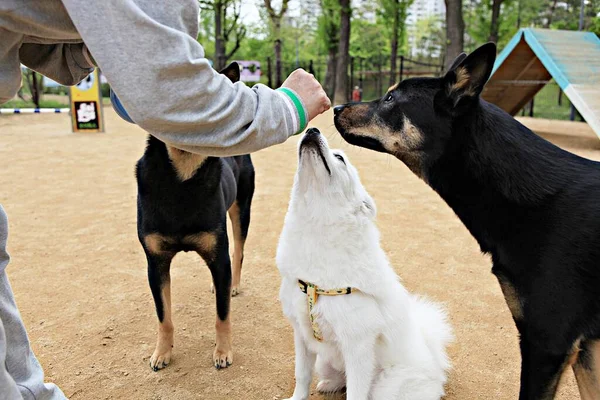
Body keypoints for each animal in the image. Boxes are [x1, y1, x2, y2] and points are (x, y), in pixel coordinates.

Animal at [135, 63, 253, 372]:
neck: (183, 178)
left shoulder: (218, 254)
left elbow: (222, 315)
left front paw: (223, 352)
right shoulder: (156, 263)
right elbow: (163, 316)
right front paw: (161, 353)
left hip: (241, 208)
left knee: (238, 252)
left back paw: (233, 285)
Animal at [274, 128, 452, 400]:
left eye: (340, 158)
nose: (312, 130)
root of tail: (434, 361)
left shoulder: (357, 346)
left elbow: (356, 392)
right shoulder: (302, 334)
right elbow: (301, 376)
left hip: (385, 388)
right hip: (324, 361)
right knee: (338, 378)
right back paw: (328, 384)